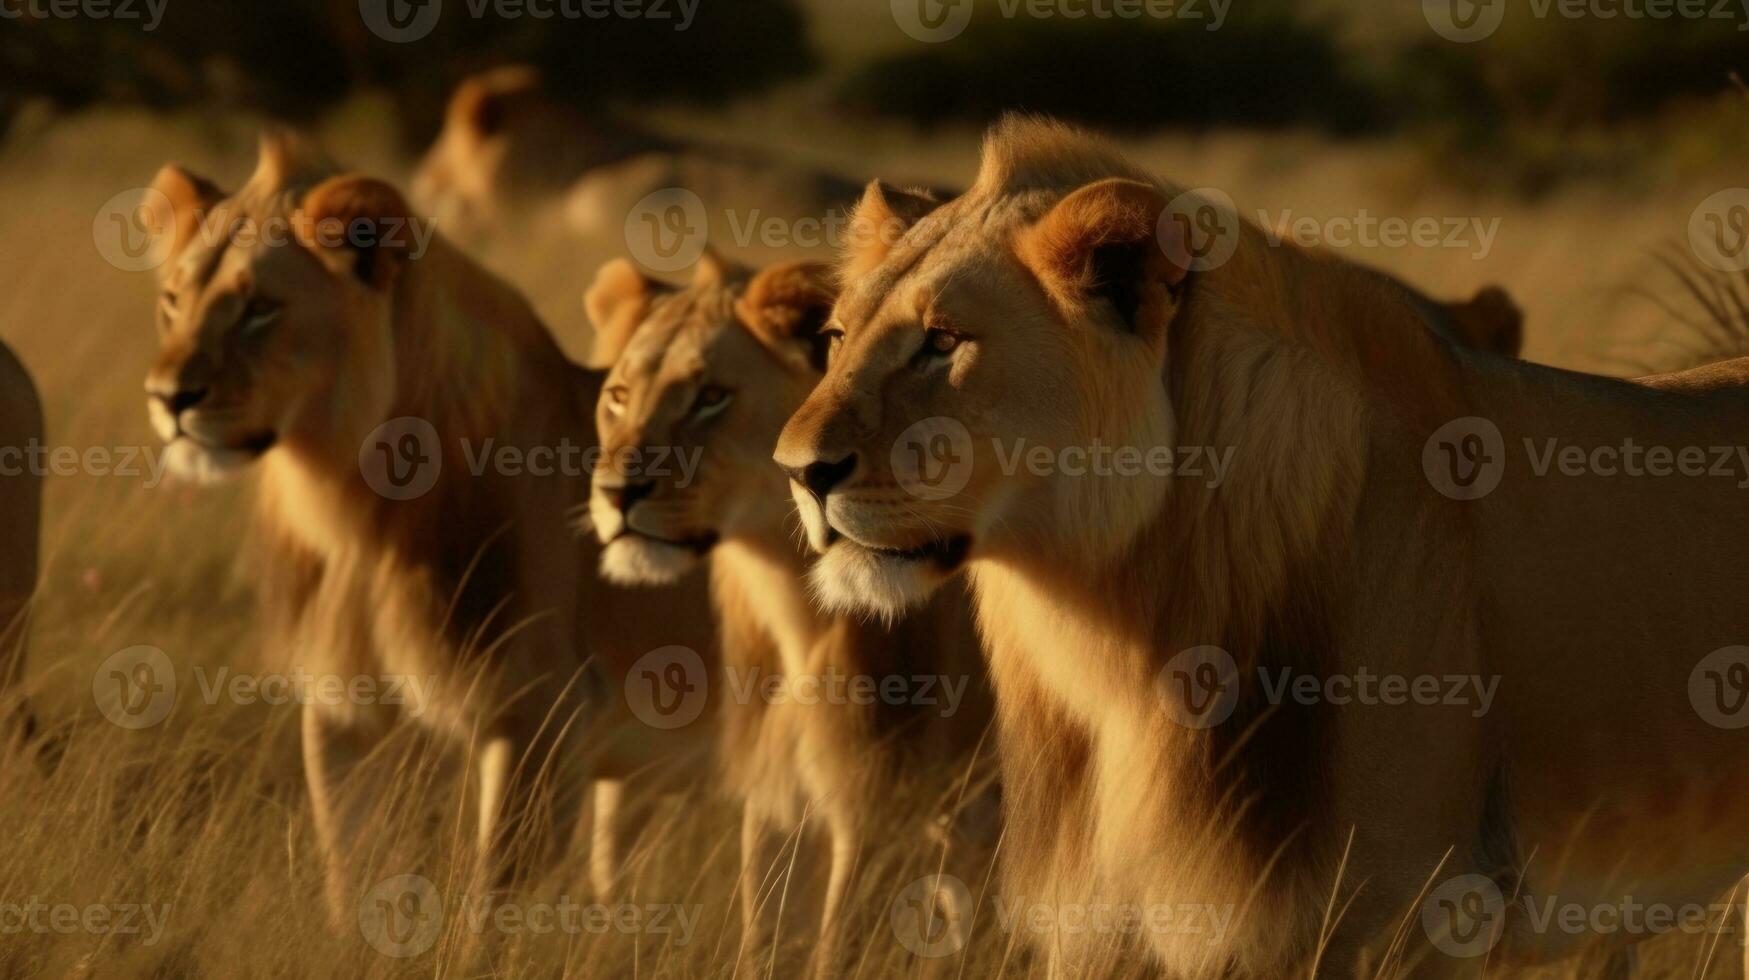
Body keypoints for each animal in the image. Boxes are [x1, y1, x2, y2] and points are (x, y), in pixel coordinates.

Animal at [136, 133, 710, 924]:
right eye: (173, 301)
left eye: (259, 309)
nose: (167, 398)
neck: (352, 509)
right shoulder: (343, 706)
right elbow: (349, 871)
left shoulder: (539, 713)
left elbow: (492, 904)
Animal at [580, 250, 993, 973]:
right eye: (619, 397)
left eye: (711, 396)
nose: (614, 493)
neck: (791, 607)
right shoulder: (773, 800)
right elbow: (761, 940)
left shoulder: (874, 813)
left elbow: (835, 953)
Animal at [773, 116, 1749, 980]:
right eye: (834, 338)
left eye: (942, 341)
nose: (797, 471)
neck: (1104, 645)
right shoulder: (1099, 934)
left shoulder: (1405, 923)